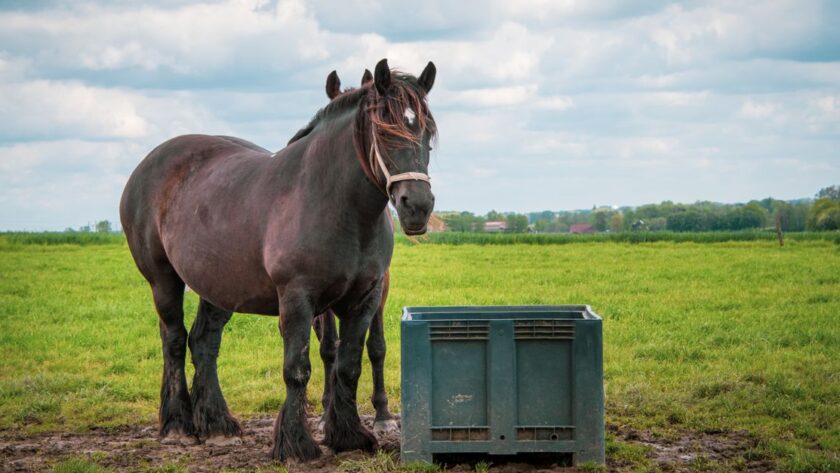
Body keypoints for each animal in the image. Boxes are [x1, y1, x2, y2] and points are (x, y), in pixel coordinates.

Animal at [119, 58, 437, 461]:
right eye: (385, 131)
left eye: (427, 133)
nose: (418, 206)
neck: (336, 204)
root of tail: (149, 163)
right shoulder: (298, 299)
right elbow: (297, 369)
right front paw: (297, 443)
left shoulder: (363, 299)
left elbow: (348, 366)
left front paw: (349, 436)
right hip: (163, 280)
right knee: (174, 340)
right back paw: (178, 426)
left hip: (218, 288)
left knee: (204, 342)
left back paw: (218, 425)